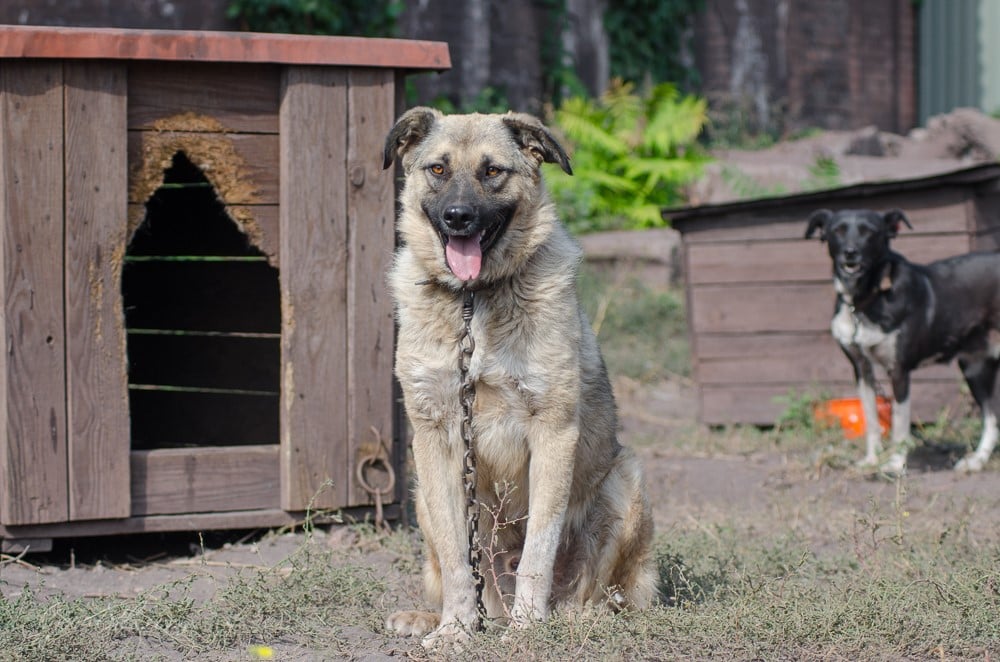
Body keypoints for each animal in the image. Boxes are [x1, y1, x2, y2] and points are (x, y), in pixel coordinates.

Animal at [382, 107, 656, 648]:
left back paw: (570, 619)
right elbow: (456, 557)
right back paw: (434, 617)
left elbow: (538, 551)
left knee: (597, 593)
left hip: (626, 481)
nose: (458, 217)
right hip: (422, 496)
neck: (473, 302)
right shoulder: (435, 438)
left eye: (492, 171)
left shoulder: (553, 431)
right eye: (438, 169)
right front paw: (454, 629)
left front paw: (529, 629)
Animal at [804, 210, 1000, 474]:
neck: (865, 300)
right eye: (838, 230)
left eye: (870, 231)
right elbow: (872, 420)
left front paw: (895, 464)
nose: (850, 252)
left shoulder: (898, 371)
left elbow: (899, 424)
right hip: (974, 367)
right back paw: (977, 460)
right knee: (991, 418)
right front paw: (872, 459)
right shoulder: (861, 370)